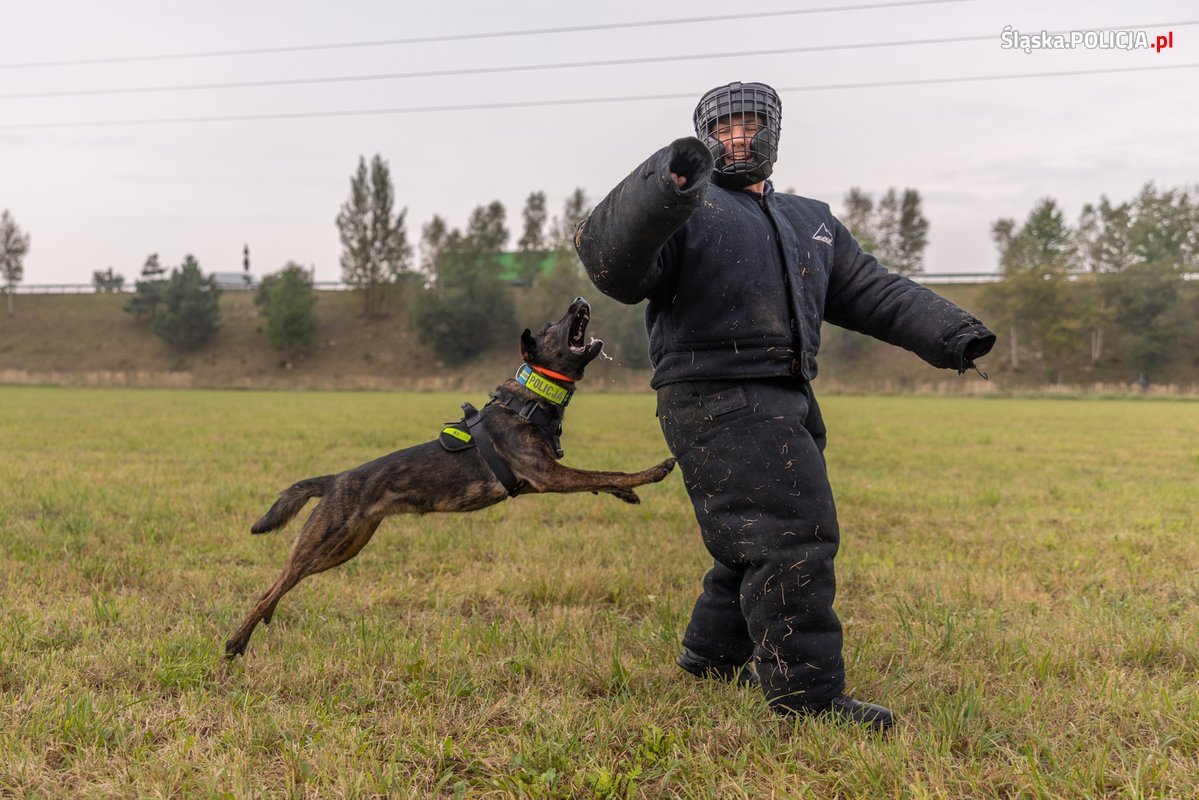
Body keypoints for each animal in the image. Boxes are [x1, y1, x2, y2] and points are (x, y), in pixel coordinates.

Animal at [225, 297, 676, 662]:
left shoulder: (550, 474)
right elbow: (604, 471)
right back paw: (235, 642)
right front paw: (653, 472)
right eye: (553, 324)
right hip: (322, 542)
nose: (579, 299)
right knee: (272, 586)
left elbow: (599, 478)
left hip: (345, 547)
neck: (530, 398)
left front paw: (626, 494)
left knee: (280, 585)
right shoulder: (547, 475)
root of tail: (336, 479)